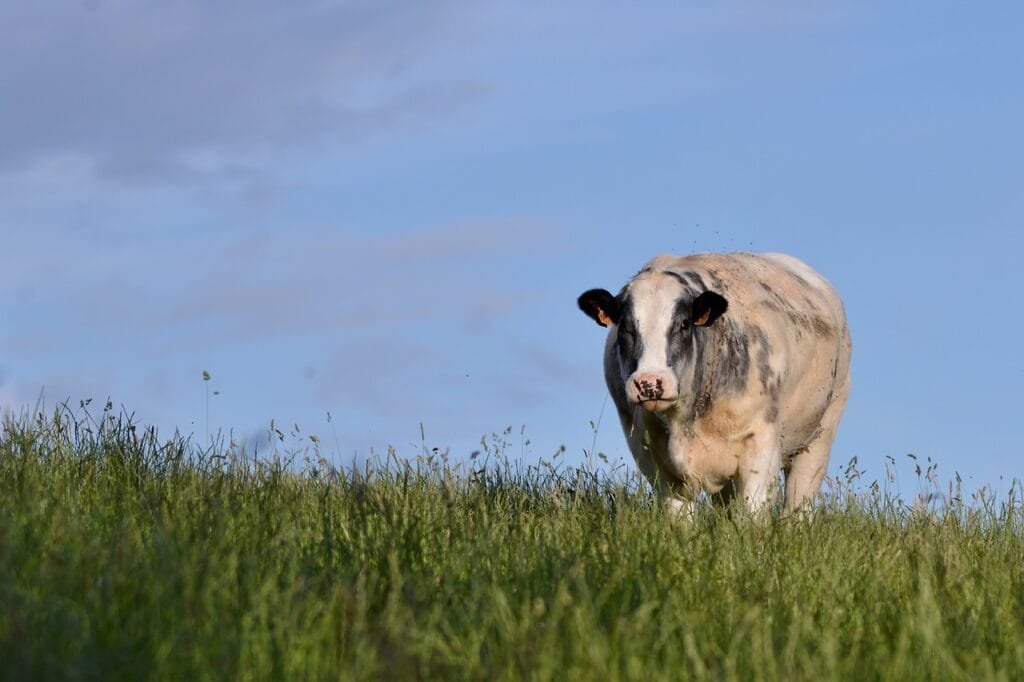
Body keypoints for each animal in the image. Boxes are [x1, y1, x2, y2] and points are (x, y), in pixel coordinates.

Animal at [581, 251, 851, 512]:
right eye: (625, 327)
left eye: (683, 324)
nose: (649, 383)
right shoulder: (650, 454)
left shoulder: (762, 447)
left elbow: (753, 511)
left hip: (819, 438)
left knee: (798, 505)